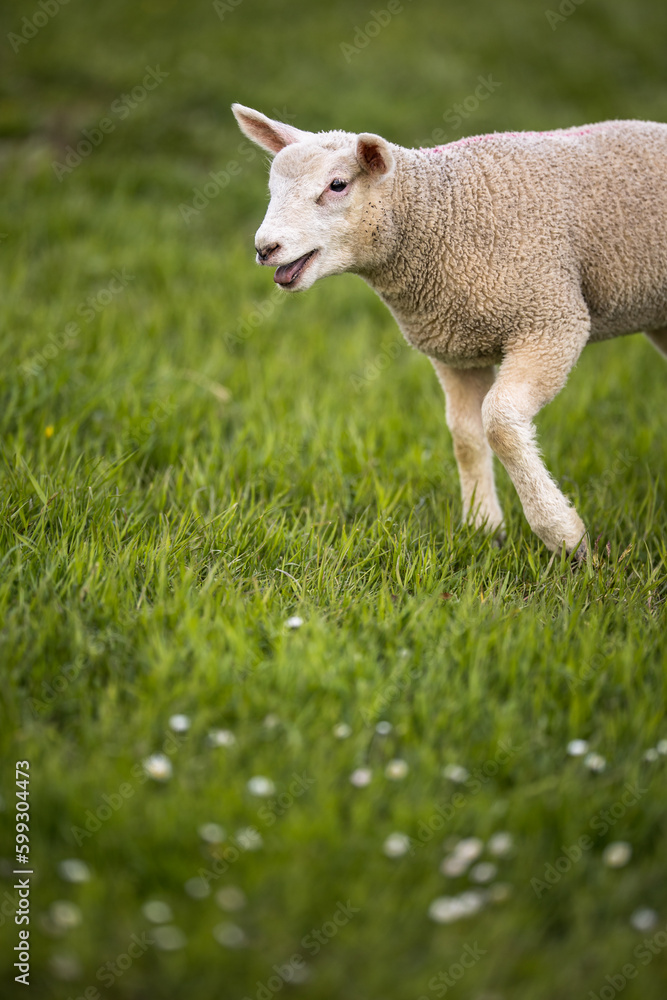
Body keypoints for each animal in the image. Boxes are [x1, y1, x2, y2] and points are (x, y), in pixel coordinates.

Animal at [232, 104, 667, 559]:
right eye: (272, 186)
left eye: (337, 185)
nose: (265, 248)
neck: (441, 215)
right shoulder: (457, 348)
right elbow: (466, 436)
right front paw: (483, 526)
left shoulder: (552, 320)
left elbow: (499, 424)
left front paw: (564, 536)